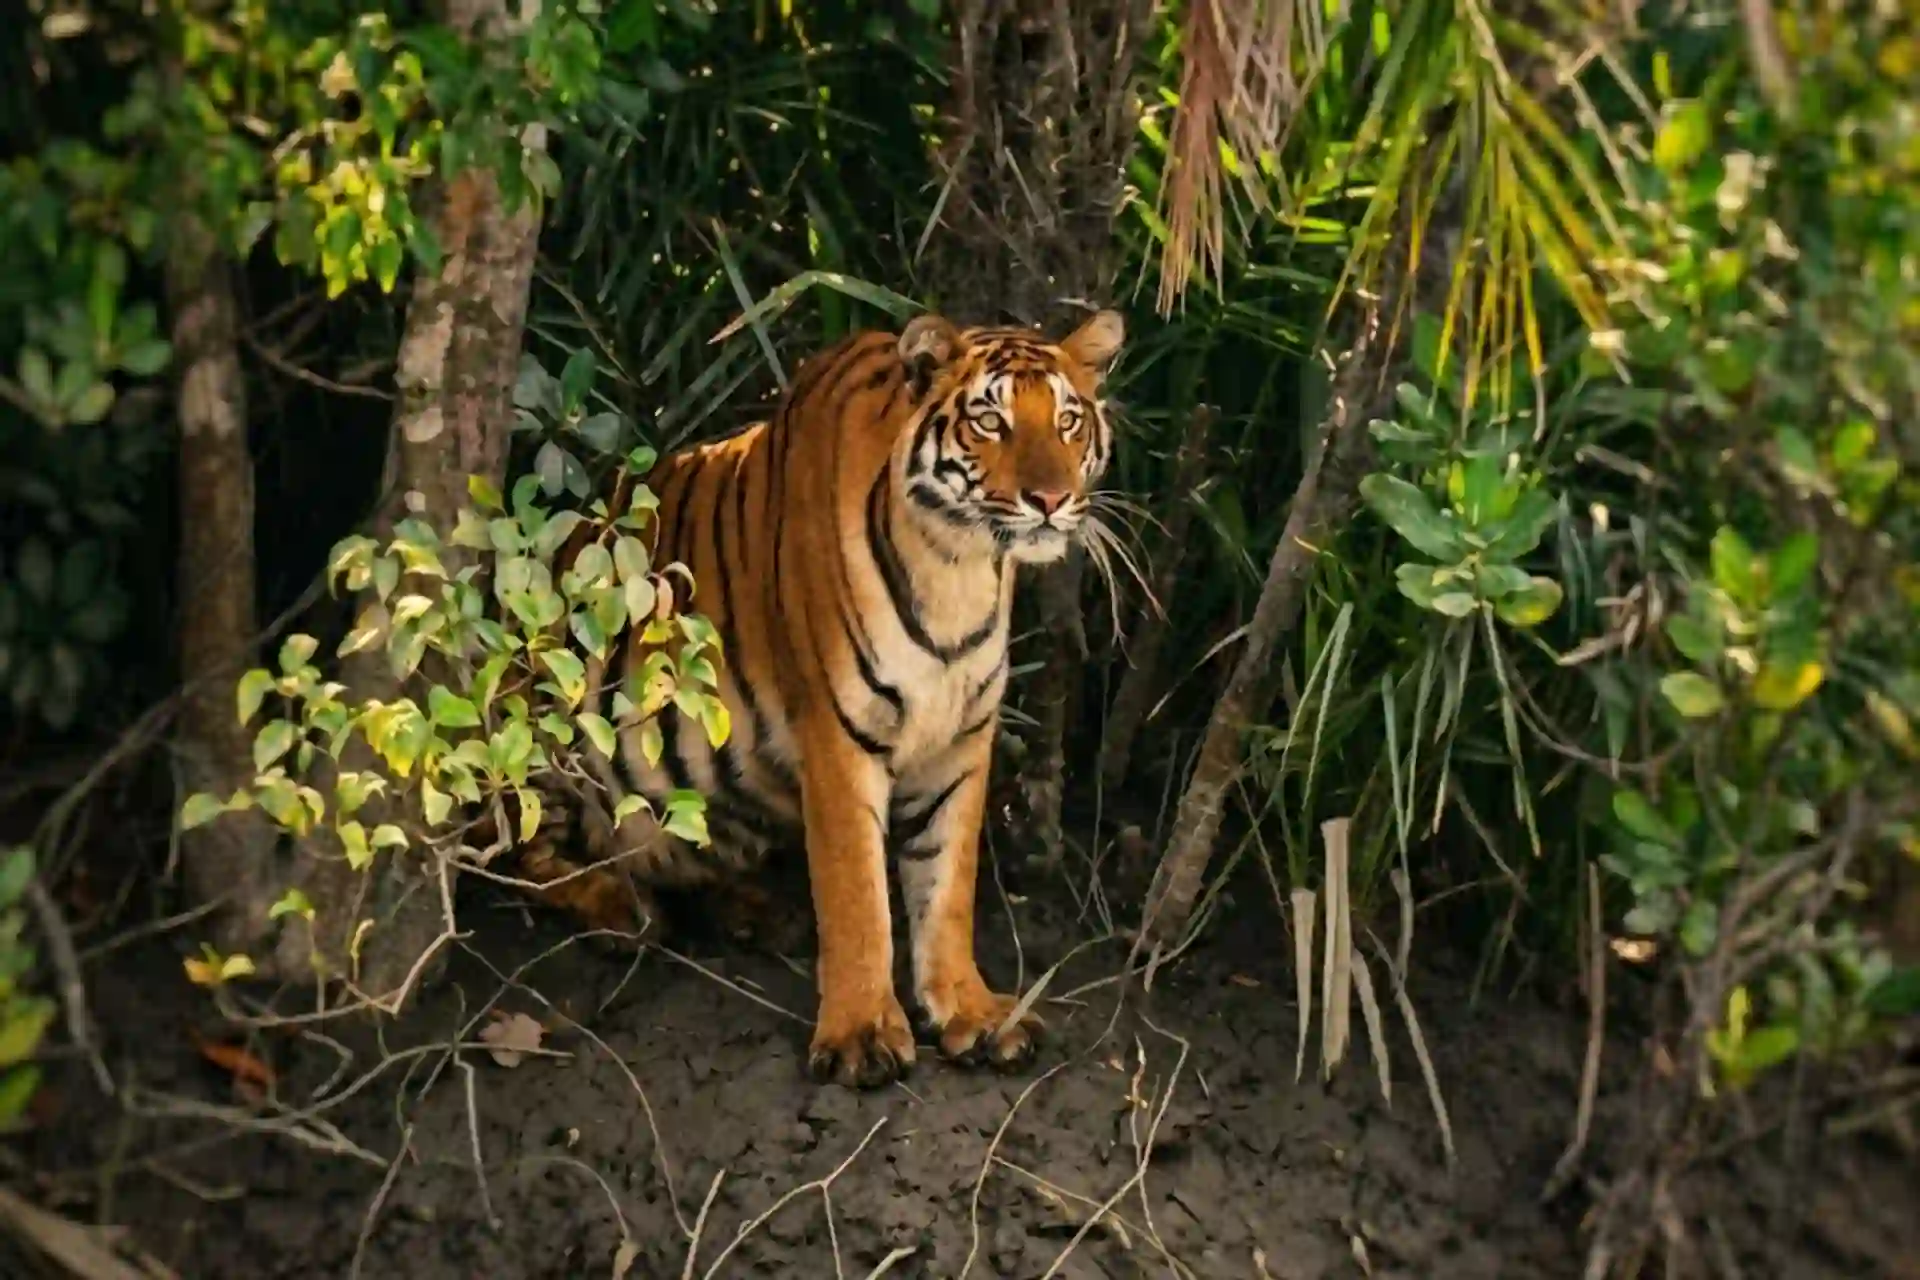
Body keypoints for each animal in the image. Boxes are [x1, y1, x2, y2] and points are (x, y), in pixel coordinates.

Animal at [515, 308, 1125, 1088]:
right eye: (991, 420)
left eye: (1069, 420)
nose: (1050, 502)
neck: (957, 565)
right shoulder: (838, 732)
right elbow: (856, 892)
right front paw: (862, 1035)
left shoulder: (962, 740)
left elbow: (947, 885)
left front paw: (969, 1011)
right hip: (543, 718)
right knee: (525, 858)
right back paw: (623, 910)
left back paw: (753, 911)